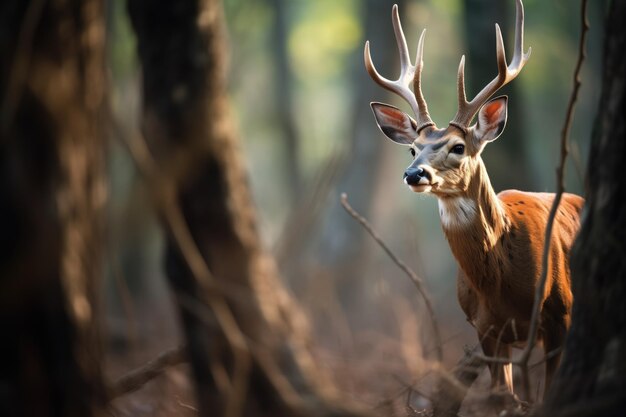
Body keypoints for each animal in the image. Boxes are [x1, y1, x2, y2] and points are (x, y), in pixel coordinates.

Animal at [364, 0, 584, 396]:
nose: (414, 174)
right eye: (413, 149)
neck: (502, 287)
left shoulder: (561, 315)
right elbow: (503, 396)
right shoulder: (485, 329)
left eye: (458, 146)